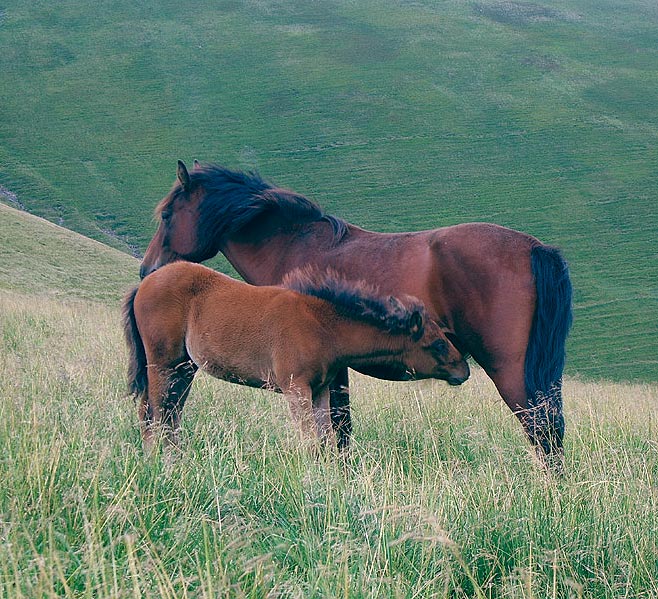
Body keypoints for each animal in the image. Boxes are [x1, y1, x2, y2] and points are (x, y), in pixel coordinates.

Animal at [121, 260, 466, 452]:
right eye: (436, 344)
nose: (464, 370)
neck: (323, 325)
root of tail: (143, 284)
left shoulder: (320, 390)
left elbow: (326, 439)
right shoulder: (295, 388)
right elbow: (310, 441)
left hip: (184, 368)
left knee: (169, 414)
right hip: (162, 363)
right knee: (154, 412)